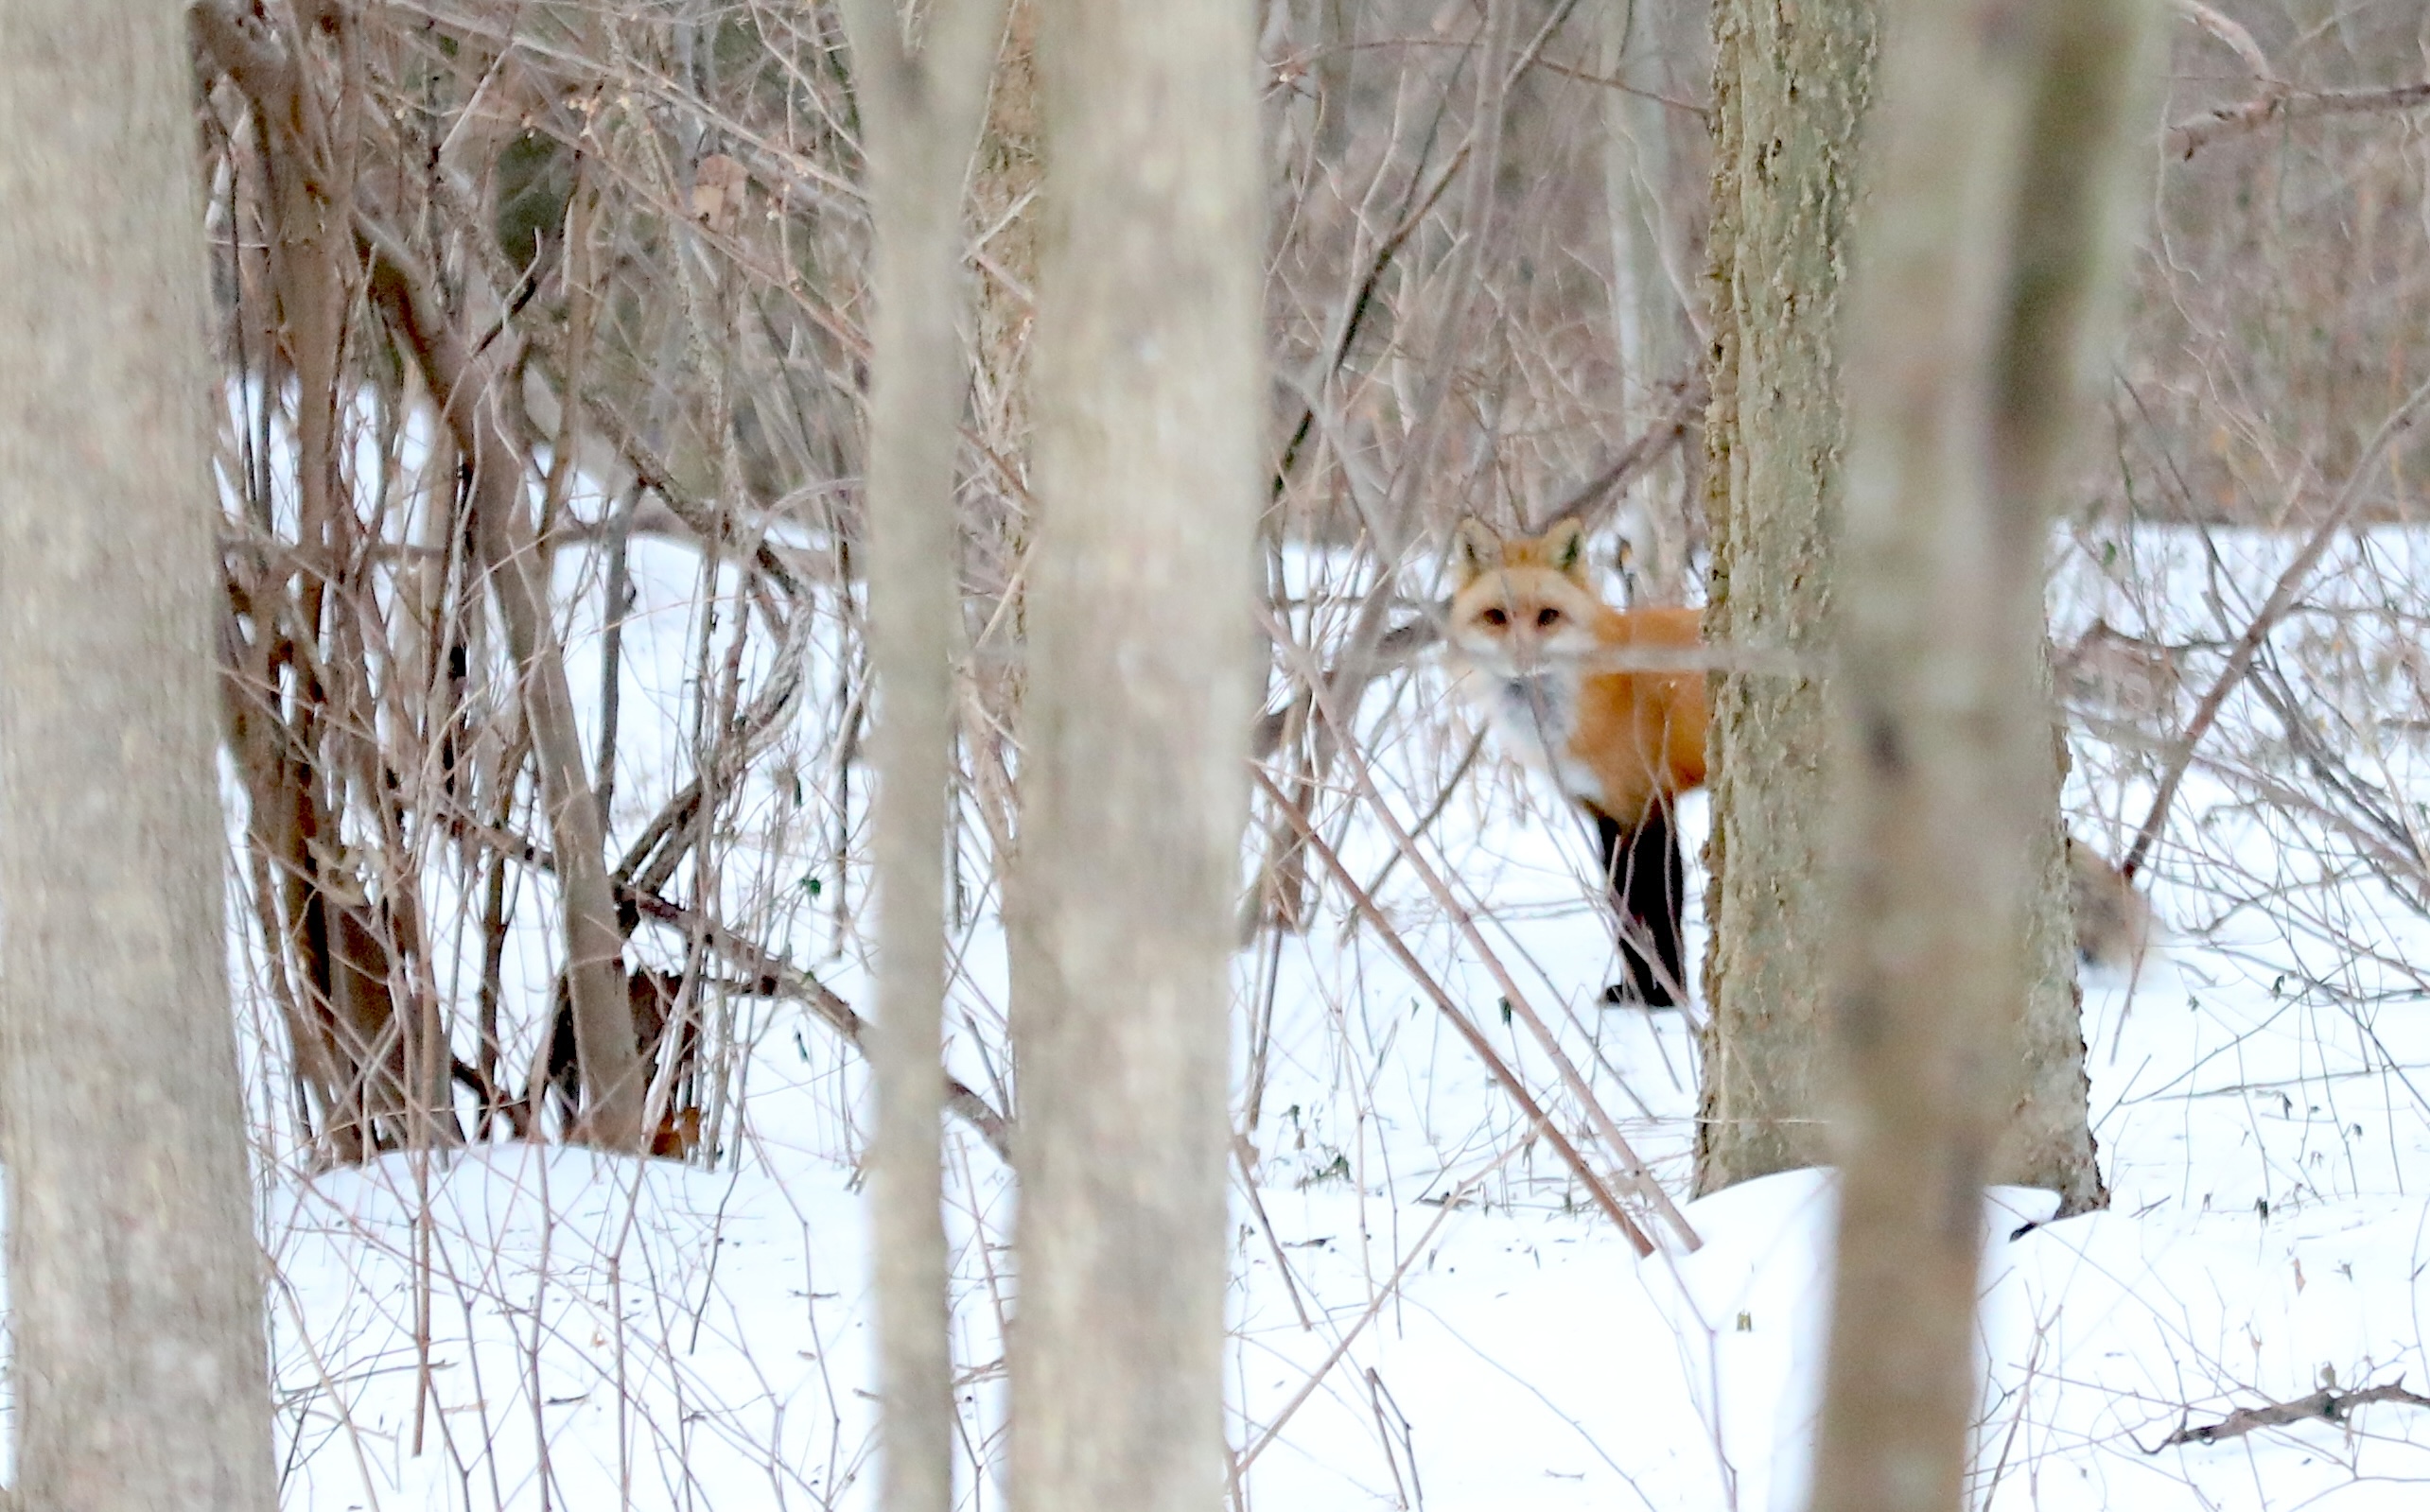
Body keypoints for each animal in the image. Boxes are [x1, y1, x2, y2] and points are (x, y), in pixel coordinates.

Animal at [1445, 517, 1708, 1007]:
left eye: (1548, 616)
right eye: (1496, 616)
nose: (1523, 659)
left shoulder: (1647, 805)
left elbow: (1661, 905)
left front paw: (1668, 997)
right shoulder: (1602, 811)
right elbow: (1620, 905)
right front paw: (1634, 992)